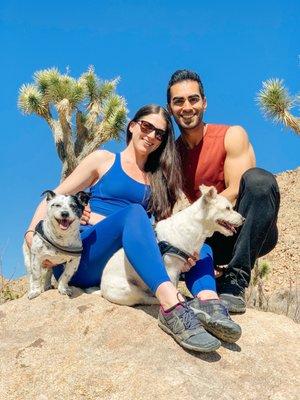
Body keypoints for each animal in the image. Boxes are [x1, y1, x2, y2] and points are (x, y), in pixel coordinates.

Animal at [99, 186, 245, 304]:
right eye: (227, 208)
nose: (243, 219)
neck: (197, 228)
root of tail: (101, 289)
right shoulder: (171, 270)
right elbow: (173, 287)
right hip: (129, 289)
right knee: (145, 298)